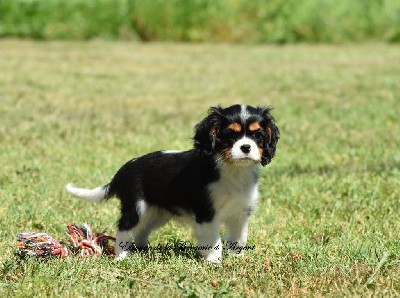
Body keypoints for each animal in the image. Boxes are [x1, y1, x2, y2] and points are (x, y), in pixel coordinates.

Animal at [65, 103, 280, 262]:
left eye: (257, 135)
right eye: (229, 135)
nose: (246, 147)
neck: (232, 169)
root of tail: (123, 170)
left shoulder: (240, 214)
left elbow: (238, 237)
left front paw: (237, 257)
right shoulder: (206, 212)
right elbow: (213, 240)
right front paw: (213, 260)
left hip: (156, 213)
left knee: (141, 231)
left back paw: (143, 250)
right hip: (137, 208)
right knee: (124, 229)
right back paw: (122, 256)